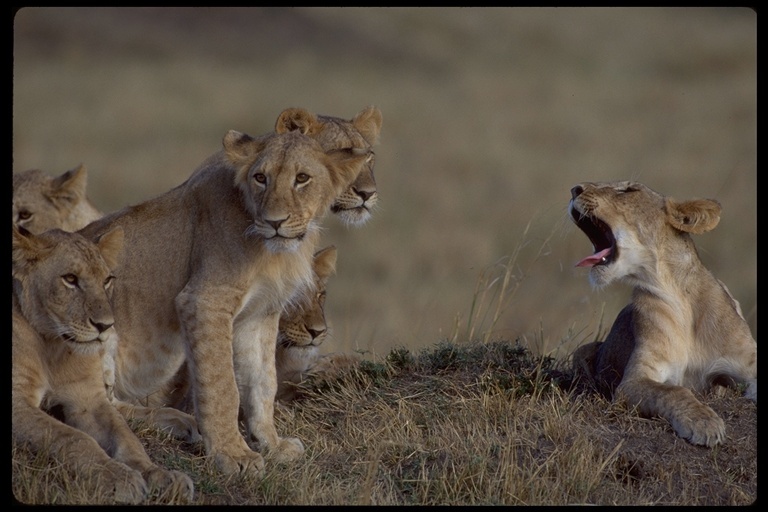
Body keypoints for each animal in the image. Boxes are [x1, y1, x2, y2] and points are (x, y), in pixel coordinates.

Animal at [12, 225, 194, 504]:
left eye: (107, 280)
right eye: (70, 278)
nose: (105, 326)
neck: (52, 345)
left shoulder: (89, 398)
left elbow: (127, 438)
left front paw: (160, 475)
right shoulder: (17, 402)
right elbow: (73, 437)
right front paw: (117, 477)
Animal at [76, 120, 370, 476]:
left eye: (302, 178)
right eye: (261, 178)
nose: (274, 222)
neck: (273, 250)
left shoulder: (260, 313)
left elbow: (263, 382)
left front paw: (272, 444)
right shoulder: (204, 301)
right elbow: (222, 385)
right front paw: (233, 455)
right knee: (92, 404)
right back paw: (180, 422)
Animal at [568, 182, 756, 446]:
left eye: (628, 190)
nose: (575, 189)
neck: (676, 292)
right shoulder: (634, 381)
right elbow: (674, 391)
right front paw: (705, 423)